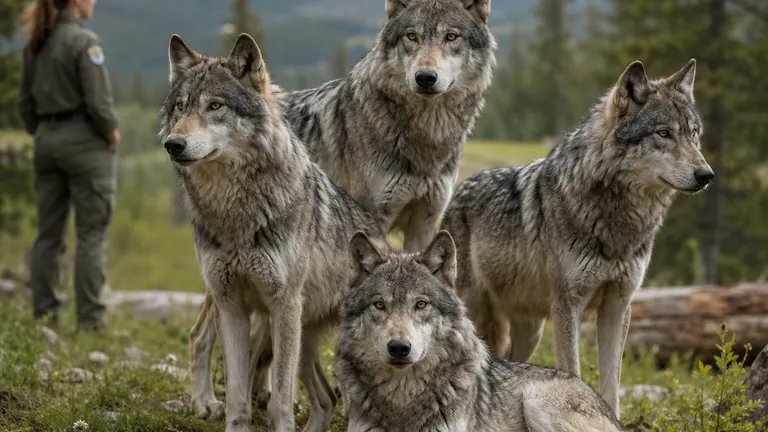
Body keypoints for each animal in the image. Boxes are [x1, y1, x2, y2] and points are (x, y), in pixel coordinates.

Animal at [159, 33, 389, 432]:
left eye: (215, 105)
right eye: (181, 107)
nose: (173, 144)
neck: (235, 213)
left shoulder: (284, 304)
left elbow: (280, 397)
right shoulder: (231, 305)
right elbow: (237, 393)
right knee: (322, 397)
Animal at [438, 58, 714, 419]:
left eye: (693, 134)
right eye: (664, 133)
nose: (707, 175)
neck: (617, 221)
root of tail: (458, 192)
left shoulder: (618, 305)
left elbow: (611, 386)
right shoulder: (568, 305)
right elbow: (573, 373)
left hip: (531, 332)